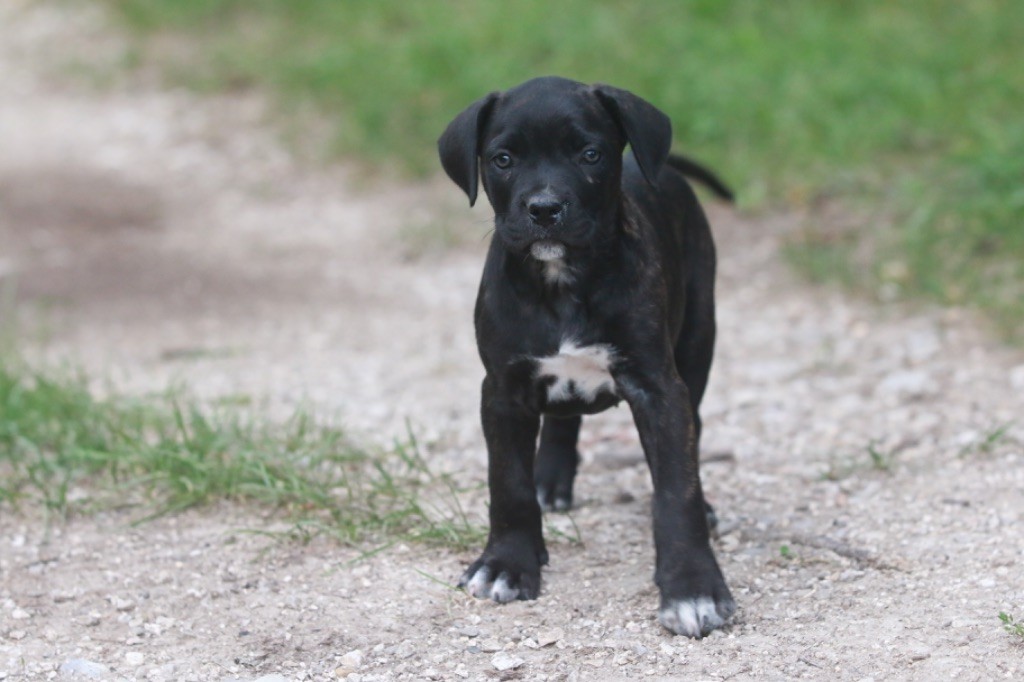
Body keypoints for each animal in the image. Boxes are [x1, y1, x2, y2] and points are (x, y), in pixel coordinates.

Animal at [440, 76, 737, 634]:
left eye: (590, 154)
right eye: (503, 159)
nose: (544, 208)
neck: (561, 281)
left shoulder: (659, 389)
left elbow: (676, 490)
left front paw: (693, 589)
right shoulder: (503, 390)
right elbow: (507, 483)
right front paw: (506, 564)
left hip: (698, 339)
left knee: (696, 425)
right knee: (562, 421)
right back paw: (551, 480)